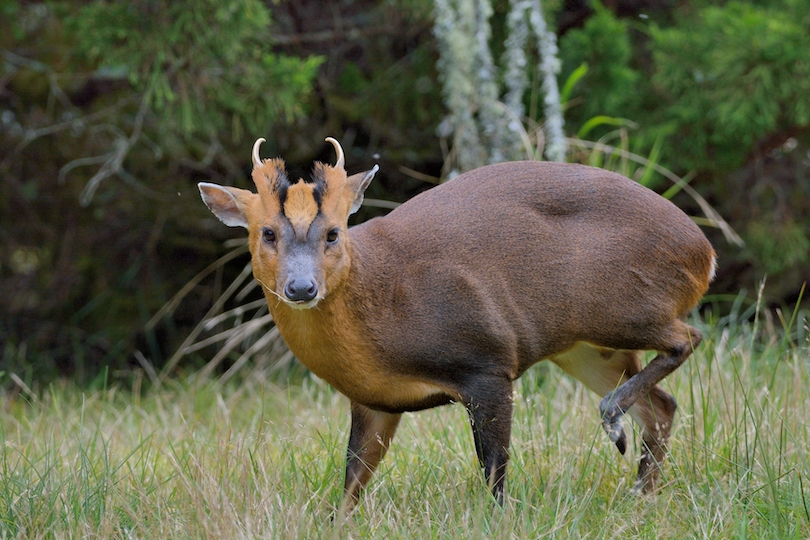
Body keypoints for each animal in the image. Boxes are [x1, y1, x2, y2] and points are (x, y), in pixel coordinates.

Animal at [196, 137, 712, 508]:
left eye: (333, 233)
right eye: (267, 233)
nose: (301, 288)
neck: (381, 314)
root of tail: (704, 252)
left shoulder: (488, 360)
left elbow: (495, 471)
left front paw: (499, 519)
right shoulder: (374, 400)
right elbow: (351, 482)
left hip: (623, 305)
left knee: (688, 338)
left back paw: (615, 426)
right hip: (584, 347)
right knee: (663, 407)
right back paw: (640, 496)